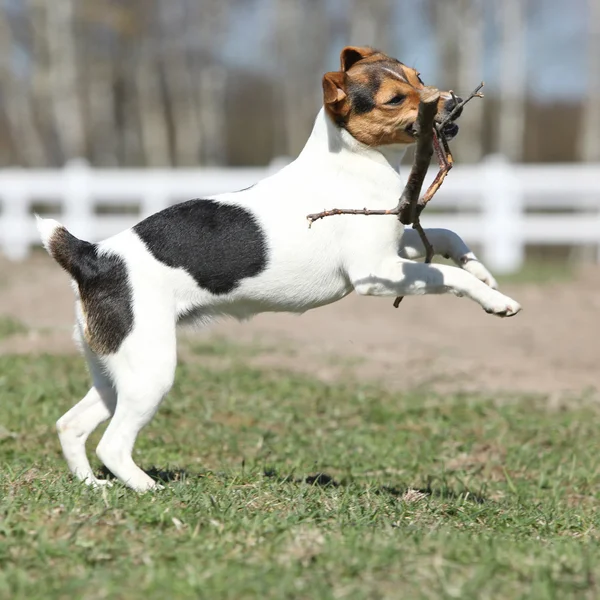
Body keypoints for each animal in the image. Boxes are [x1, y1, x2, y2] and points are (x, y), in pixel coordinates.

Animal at [35, 45, 520, 488]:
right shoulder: (375, 272)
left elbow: (448, 238)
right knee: (112, 445)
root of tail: (92, 256)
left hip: (112, 370)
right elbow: (446, 275)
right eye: (396, 99)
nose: (452, 101)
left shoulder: (394, 244)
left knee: (71, 425)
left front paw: (485, 273)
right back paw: (149, 490)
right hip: (150, 370)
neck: (352, 160)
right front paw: (495, 300)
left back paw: (93, 486)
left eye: (420, 77)